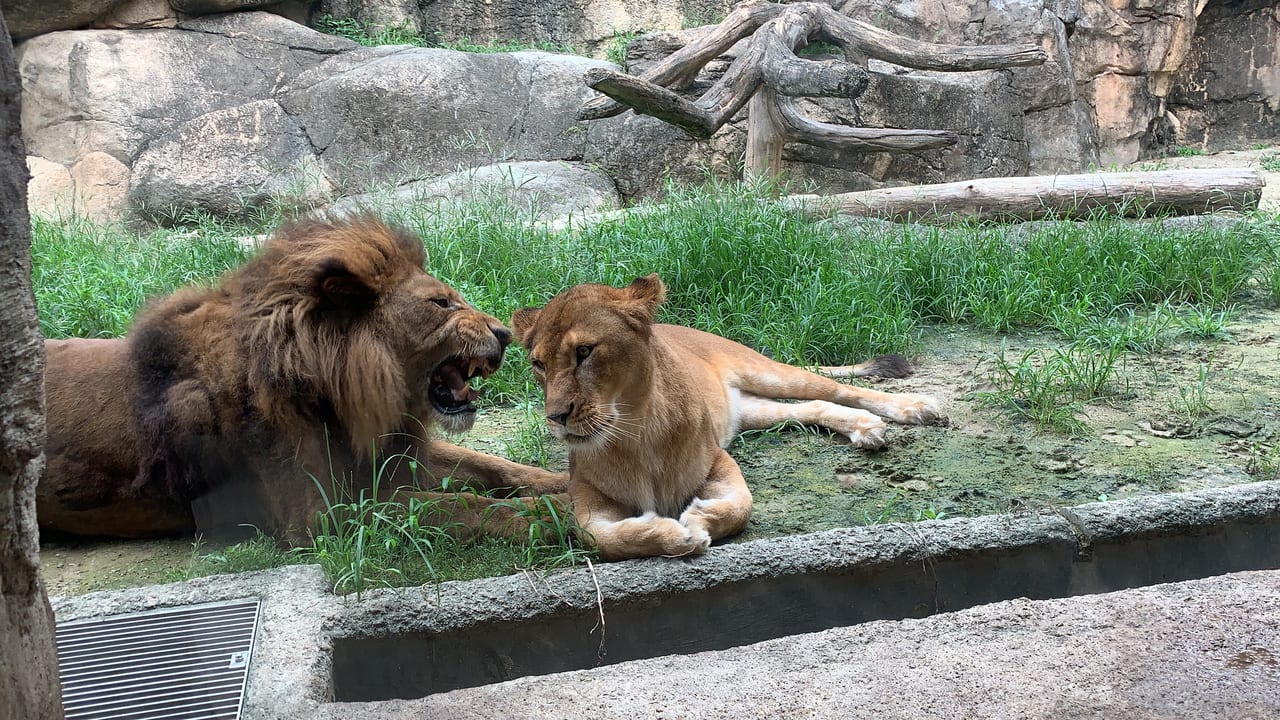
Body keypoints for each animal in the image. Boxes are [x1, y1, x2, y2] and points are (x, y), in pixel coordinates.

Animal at [40, 212, 565, 543]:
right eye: (441, 303)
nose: (505, 334)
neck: (340, 395)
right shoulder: (319, 516)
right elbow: (458, 507)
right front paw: (558, 517)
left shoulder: (386, 458)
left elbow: (493, 467)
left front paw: (560, 483)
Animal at [509, 271, 942, 558]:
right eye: (538, 364)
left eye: (585, 352)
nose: (556, 417)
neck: (634, 433)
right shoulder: (586, 494)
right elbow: (599, 537)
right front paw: (672, 535)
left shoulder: (717, 460)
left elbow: (740, 506)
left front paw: (696, 523)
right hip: (751, 410)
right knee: (813, 407)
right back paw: (864, 428)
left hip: (768, 372)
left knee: (836, 389)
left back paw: (916, 408)